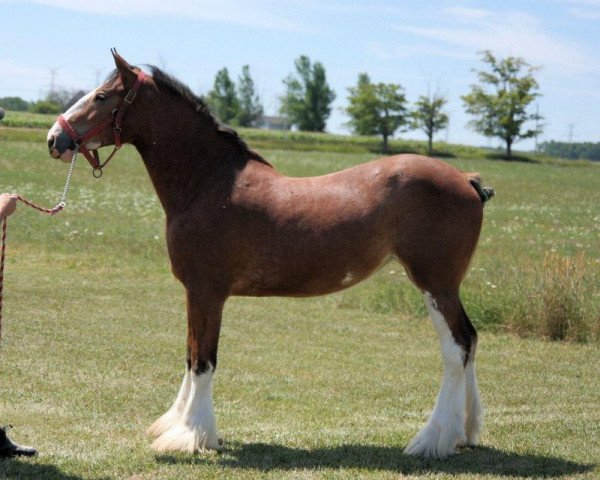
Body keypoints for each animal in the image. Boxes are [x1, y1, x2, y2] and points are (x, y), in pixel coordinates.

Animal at [47, 50, 494, 460]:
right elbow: (190, 354)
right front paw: (176, 425)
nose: (55, 138)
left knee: (456, 348)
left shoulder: (207, 291)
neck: (208, 184)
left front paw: (192, 435)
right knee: (471, 340)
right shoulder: (196, 292)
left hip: (435, 284)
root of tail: (467, 180)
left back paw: (431, 440)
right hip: (445, 287)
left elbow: (203, 359)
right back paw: (465, 432)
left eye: (102, 96)